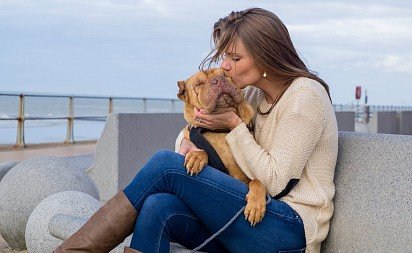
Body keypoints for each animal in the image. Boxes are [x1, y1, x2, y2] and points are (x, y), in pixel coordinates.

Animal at [176, 67, 268, 225]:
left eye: (225, 74)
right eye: (199, 84)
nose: (218, 80)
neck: (221, 131)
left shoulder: (246, 178)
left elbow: (257, 181)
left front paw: (256, 205)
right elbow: (200, 151)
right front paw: (196, 156)